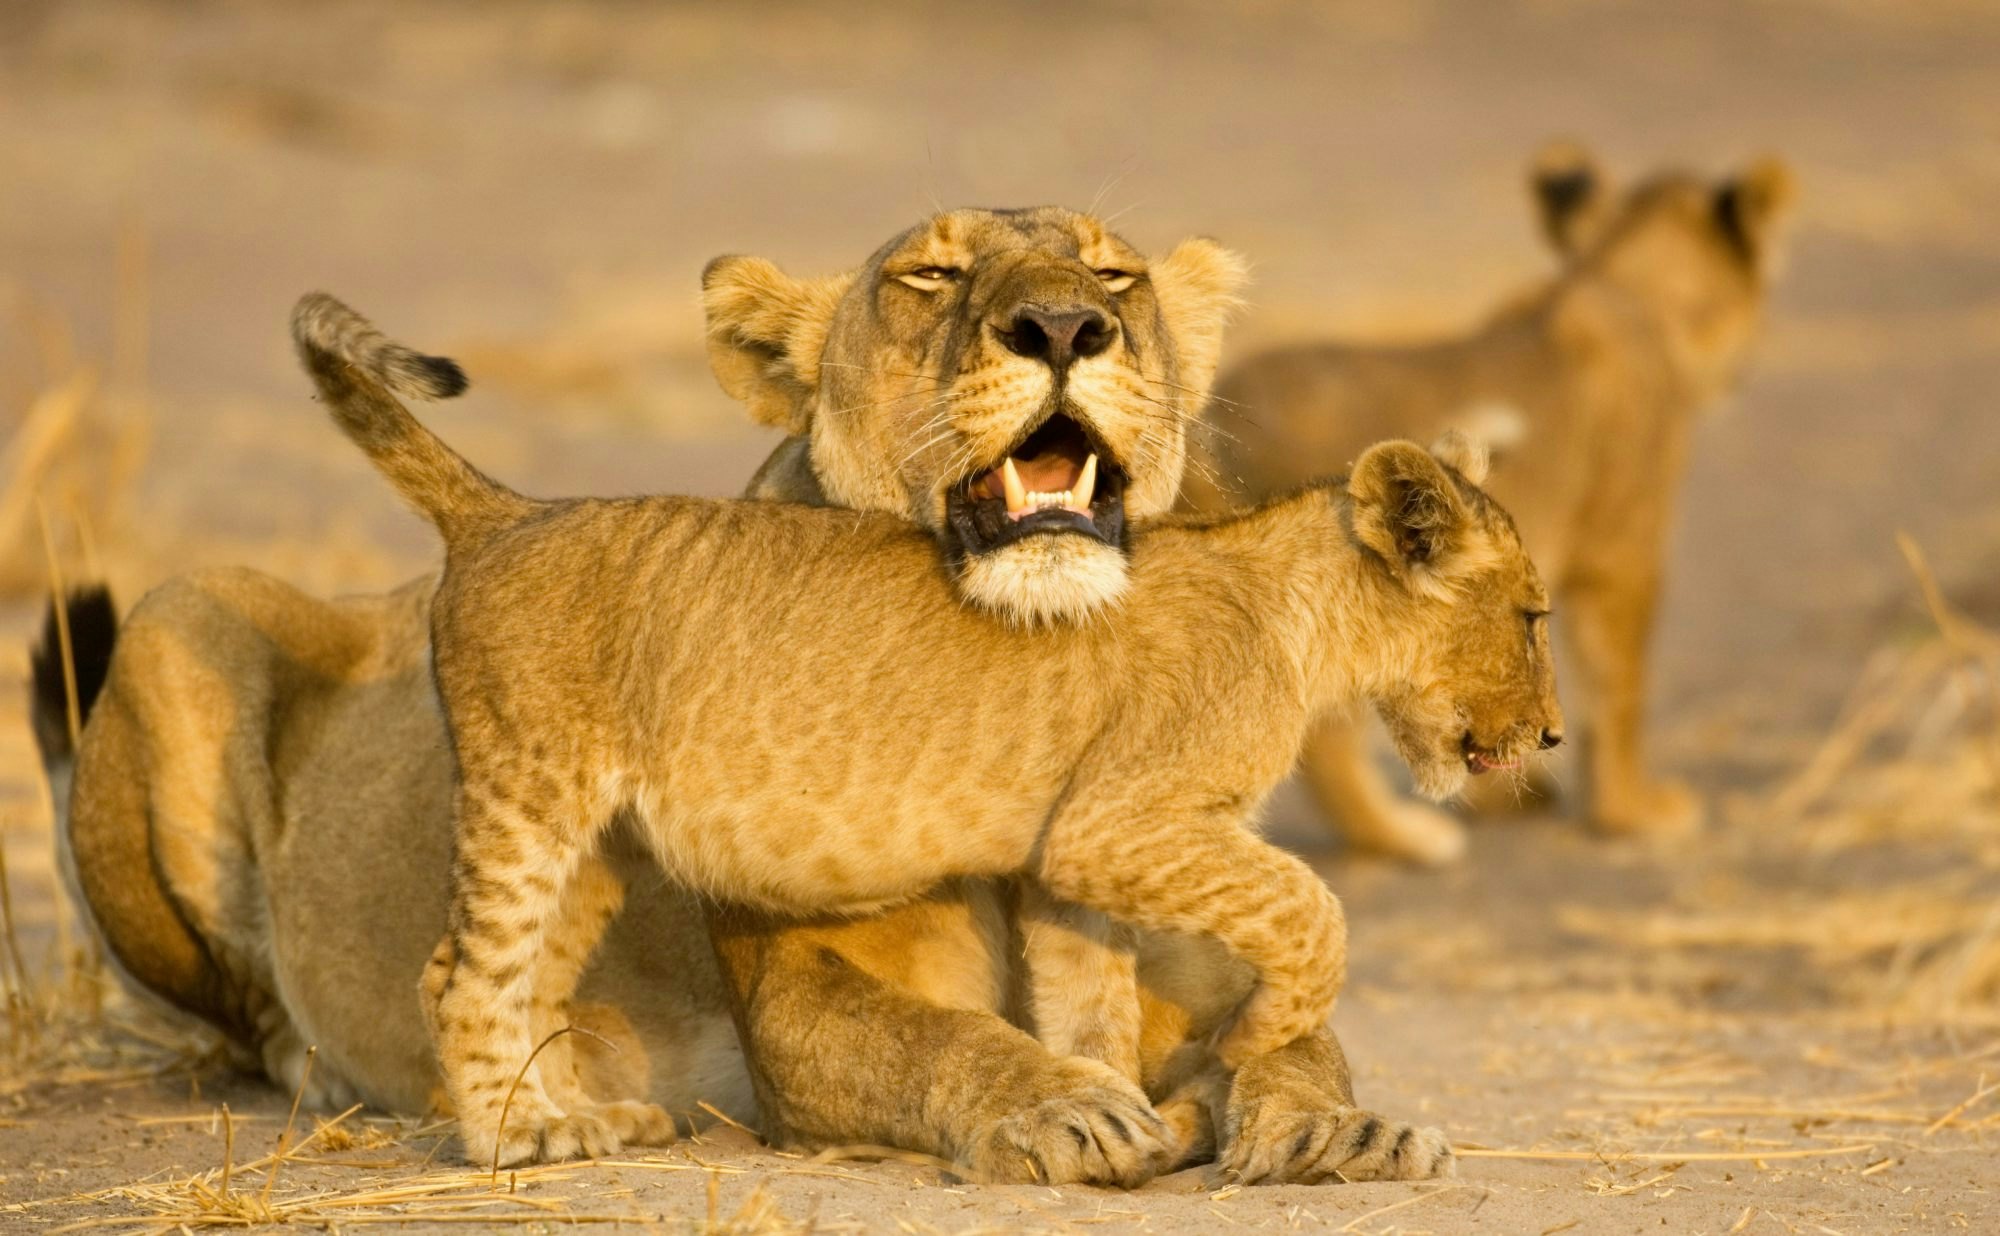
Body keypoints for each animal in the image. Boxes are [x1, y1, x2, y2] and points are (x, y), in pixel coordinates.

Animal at [40, 208, 1450, 1186]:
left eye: (1116, 279)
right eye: (929, 277)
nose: (1061, 329)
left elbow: (1296, 1033)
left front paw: (1341, 1124)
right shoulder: (795, 1007)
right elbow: (941, 1041)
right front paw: (1057, 1106)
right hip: (181, 615)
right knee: (264, 1007)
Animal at [1191, 145, 1794, 863]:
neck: (1621, 286)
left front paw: (1509, 795)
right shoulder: (1622, 548)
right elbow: (1619, 686)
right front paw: (1634, 813)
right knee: (1326, 741)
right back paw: (1407, 836)